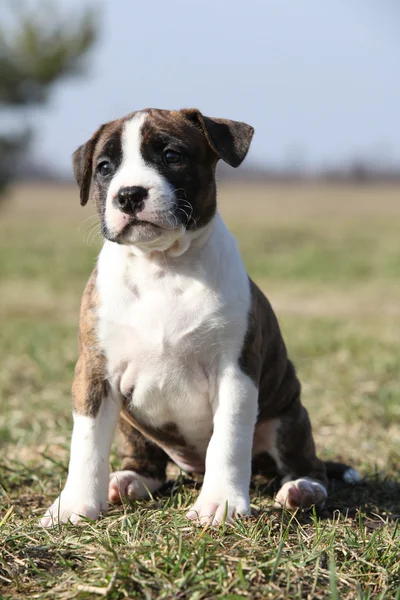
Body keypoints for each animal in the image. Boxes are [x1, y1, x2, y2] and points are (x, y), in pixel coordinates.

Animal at [41, 110, 360, 528]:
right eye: (105, 167)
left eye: (172, 155)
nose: (129, 194)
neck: (162, 267)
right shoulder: (95, 373)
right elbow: (87, 444)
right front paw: (73, 507)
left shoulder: (235, 373)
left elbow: (228, 442)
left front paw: (220, 505)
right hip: (130, 421)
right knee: (147, 461)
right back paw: (127, 480)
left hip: (288, 416)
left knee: (305, 463)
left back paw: (303, 489)